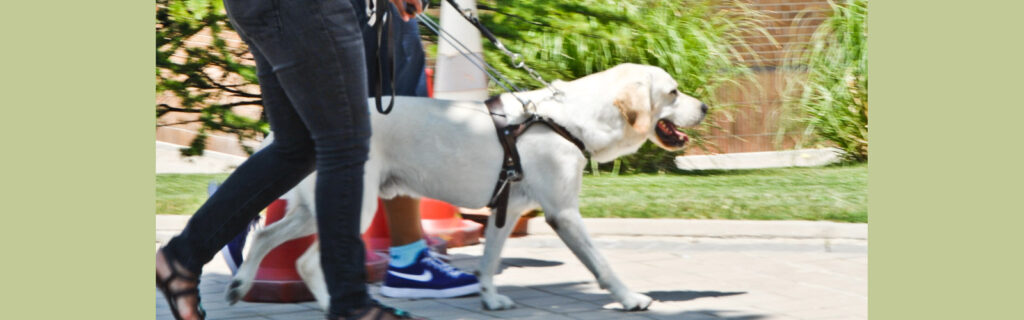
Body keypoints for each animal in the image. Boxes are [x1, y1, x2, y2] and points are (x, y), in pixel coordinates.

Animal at [224, 63, 704, 311]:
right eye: (674, 92)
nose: (703, 106)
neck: (568, 119)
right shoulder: (564, 213)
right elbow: (602, 264)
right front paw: (630, 297)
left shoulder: (507, 211)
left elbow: (490, 261)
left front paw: (490, 298)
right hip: (355, 205)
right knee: (305, 260)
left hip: (312, 208)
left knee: (266, 237)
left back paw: (246, 286)